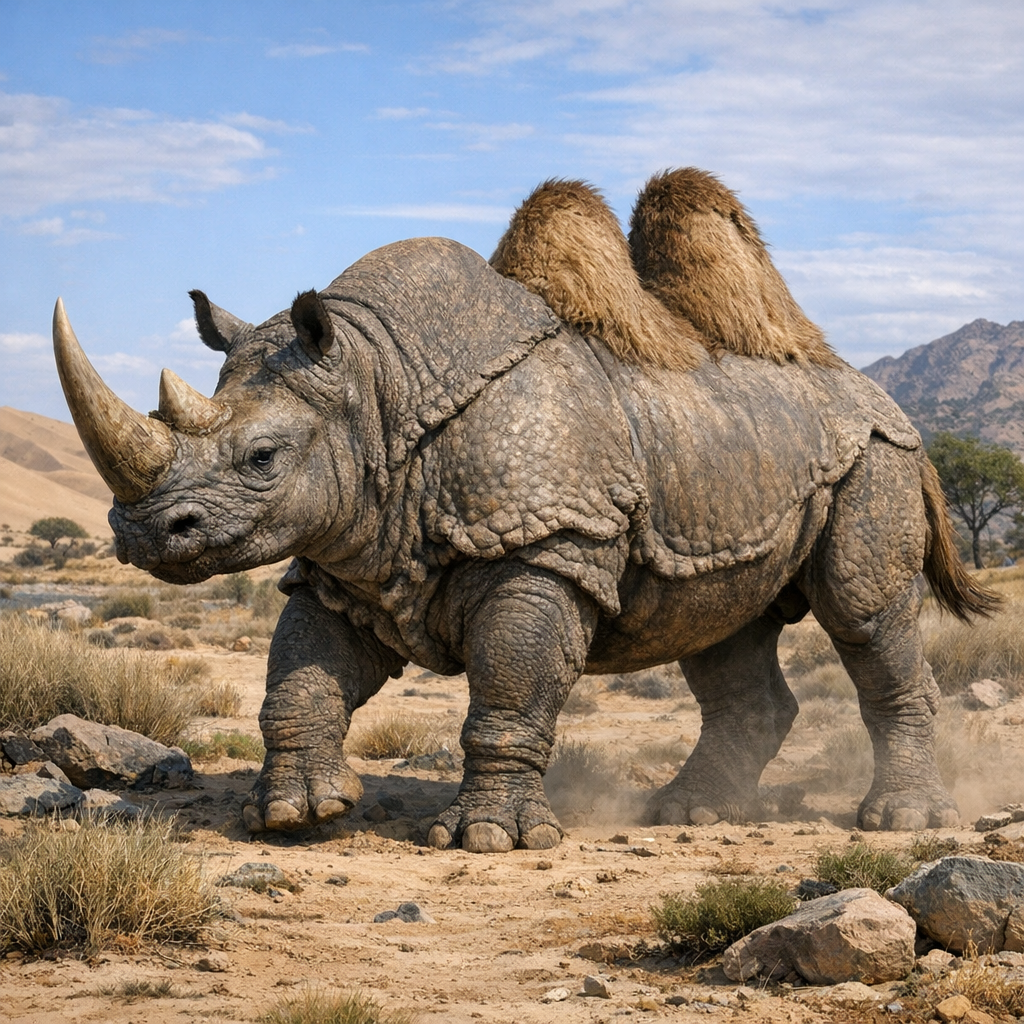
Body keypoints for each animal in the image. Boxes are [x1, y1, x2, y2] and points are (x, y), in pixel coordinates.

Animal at [53, 169, 995, 853]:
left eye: (262, 460)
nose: (143, 533)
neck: (379, 389)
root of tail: (871, 385)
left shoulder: (548, 546)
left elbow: (510, 682)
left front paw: (488, 840)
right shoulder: (347, 553)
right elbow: (299, 677)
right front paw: (295, 817)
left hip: (878, 455)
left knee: (864, 614)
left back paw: (899, 824)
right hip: (730, 466)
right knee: (719, 626)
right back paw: (686, 815)